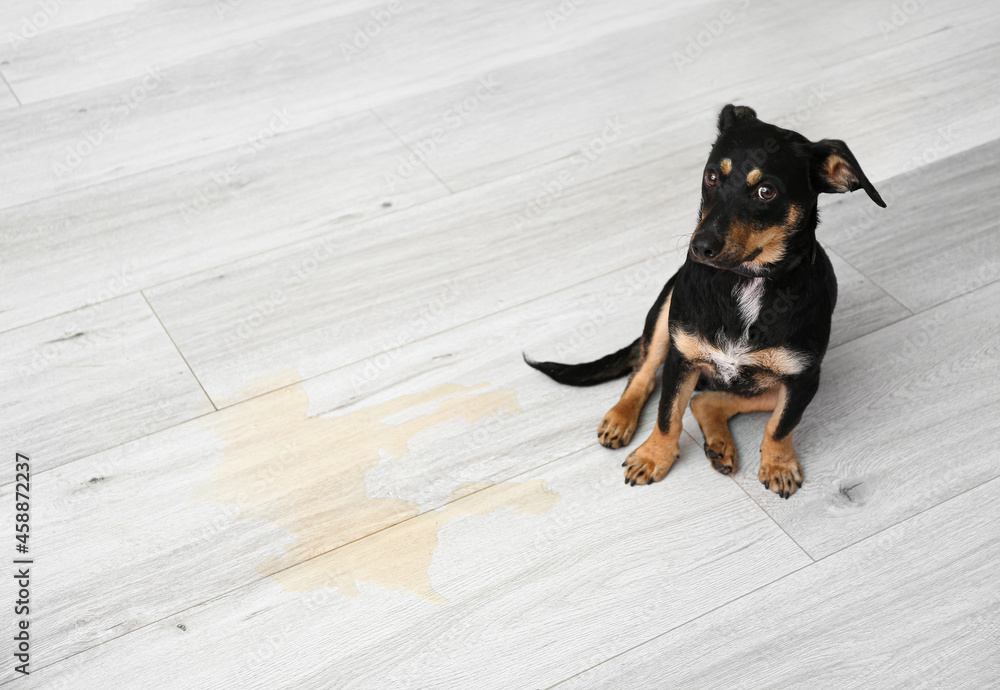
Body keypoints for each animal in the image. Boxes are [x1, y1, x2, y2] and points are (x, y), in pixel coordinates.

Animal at [524, 103, 884, 494]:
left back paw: (719, 444)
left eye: (766, 191)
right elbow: (667, 414)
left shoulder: (803, 378)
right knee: (643, 373)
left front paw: (779, 465)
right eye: (711, 177)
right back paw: (620, 418)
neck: (746, 281)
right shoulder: (681, 358)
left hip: (778, 382)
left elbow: (780, 426)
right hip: (666, 313)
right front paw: (653, 457)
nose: (700, 247)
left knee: (708, 401)